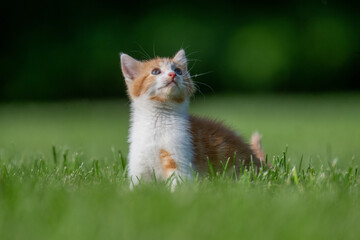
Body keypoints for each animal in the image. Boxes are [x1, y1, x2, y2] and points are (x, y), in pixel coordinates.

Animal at [119, 48, 266, 188]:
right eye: (155, 71)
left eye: (178, 71)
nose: (173, 74)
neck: (159, 119)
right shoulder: (139, 162)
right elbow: (138, 184)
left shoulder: (179, 156)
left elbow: (178, 182)